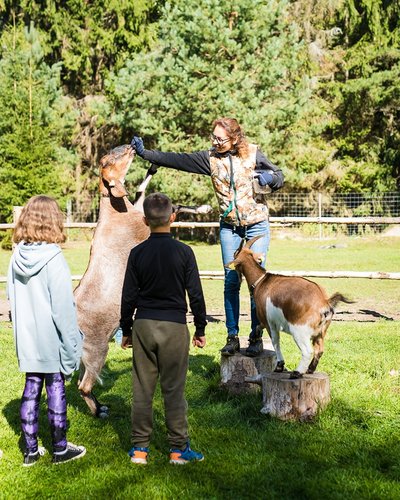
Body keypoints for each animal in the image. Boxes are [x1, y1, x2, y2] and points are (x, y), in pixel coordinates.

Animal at [228, 236, 354, 376]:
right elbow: (258, 326)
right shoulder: (265, 320)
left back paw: (297, 372)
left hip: (299, 330)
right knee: (319, 349)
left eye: (235, 254)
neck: (261, 281)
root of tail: (324, 302)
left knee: (307, 350)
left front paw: (279, 366)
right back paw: (310, 369)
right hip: (321, 331)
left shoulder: (269, 322)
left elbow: (275, 342)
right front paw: (253, 336)